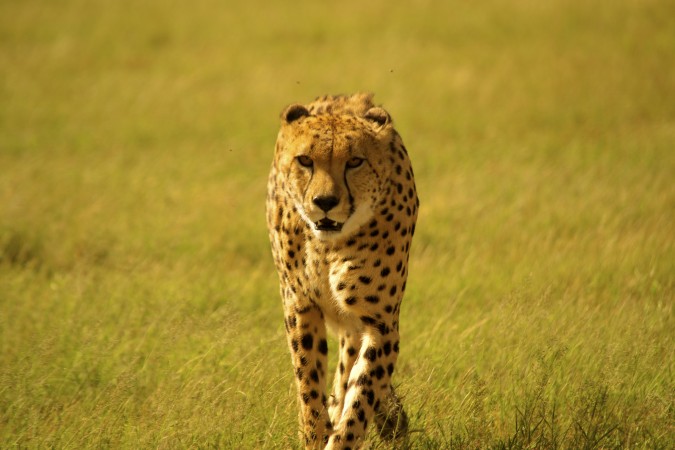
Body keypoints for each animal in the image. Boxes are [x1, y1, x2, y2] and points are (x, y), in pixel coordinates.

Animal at [268, 93, 418, 448]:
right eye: (305, 160)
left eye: (355, 162)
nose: (325, 201)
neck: (328, 246)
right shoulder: (301, 305)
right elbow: (309, 382)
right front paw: (315, 433)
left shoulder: (379, 324)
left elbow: (360, 398)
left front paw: (343, 433)